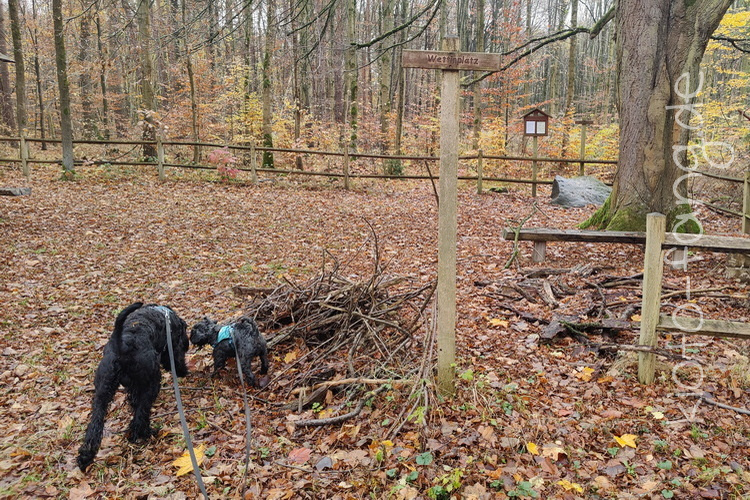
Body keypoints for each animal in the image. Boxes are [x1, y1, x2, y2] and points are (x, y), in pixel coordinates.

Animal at [77, 302, 189, 472]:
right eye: (183, 335)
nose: (187, 345)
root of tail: (122, 346)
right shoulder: (171, 348)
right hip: (152, 384)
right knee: (141, 415)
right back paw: (144, 433)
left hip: (102, 392)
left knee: (95, 424)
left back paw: (85, 455)